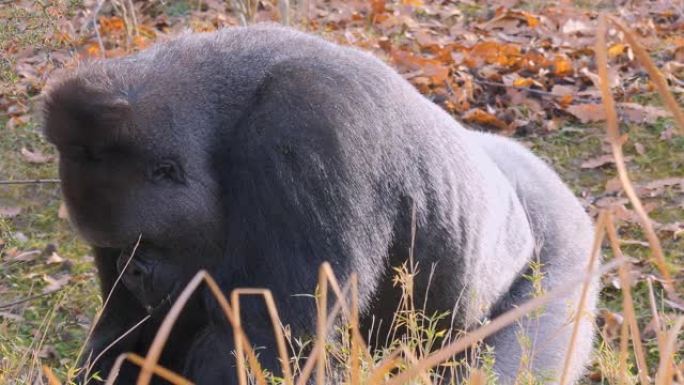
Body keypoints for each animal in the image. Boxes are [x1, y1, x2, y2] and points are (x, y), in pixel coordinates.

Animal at [44, 24, 600, 384]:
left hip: (566, 261)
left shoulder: (309, 134)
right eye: (114, 250)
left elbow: (267, 351)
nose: (133, 271)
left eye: (146, 242)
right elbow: (128, 334)